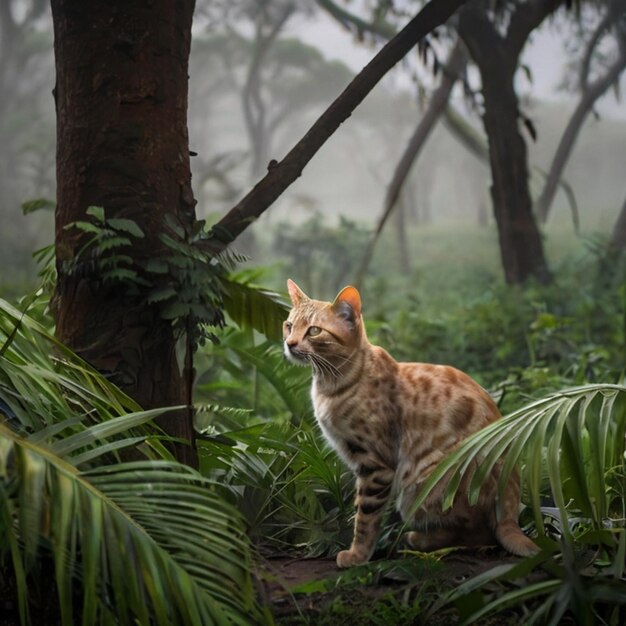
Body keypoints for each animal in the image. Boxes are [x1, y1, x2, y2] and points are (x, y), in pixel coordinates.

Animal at [282, 280, 536, 568]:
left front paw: (357, 555)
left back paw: (419, 539)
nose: (289, 343)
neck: (331, 384)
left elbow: (365, 517)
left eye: (314, 331)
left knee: (480, 534)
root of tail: (511, 509)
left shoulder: (375, 464)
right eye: (289, 325)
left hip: (421, 484)